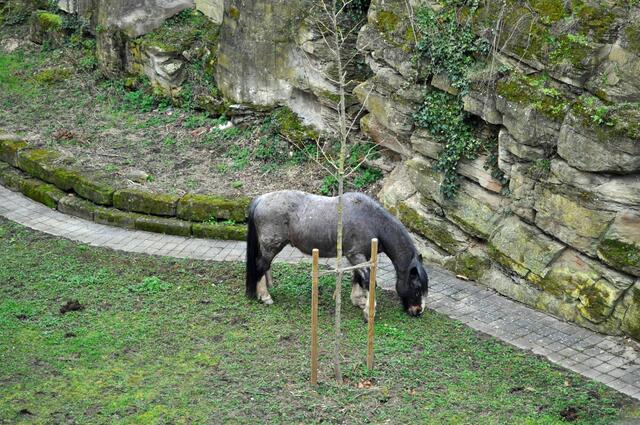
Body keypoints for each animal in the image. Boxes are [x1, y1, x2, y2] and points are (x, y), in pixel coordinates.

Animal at [245, 190, 429, 320]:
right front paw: (368, 309)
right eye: (417, 288)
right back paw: (265, 296)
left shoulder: (357, 256)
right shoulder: (357, 255)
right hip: (271, 247)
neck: (372, 222)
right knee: (261, 265)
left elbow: (357, 277)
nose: (418, 310)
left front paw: (358, 300)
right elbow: (369, 281)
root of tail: (260, 200)